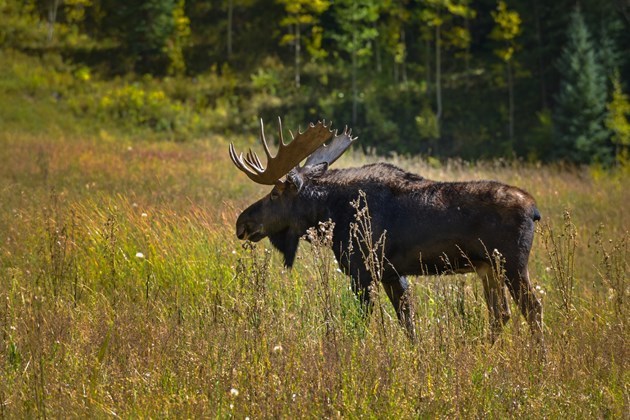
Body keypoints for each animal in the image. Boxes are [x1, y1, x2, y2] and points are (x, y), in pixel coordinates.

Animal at [230, 118, 544, 344]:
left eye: (274, 194)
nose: (242, 223)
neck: (331, 211)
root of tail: (534, 210)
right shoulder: (392, 273)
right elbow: (408, 324)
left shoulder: (363, 270)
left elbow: (363, 323)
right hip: (488, 267)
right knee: (501, 313)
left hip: (512, 264)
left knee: (533, 309)